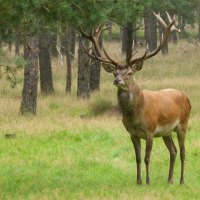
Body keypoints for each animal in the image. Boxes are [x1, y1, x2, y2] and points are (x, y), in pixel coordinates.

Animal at [79, 11, 191, 185]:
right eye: (115, 73)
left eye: (130, 73)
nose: (117, 81)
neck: (136, 115)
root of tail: (186, 98)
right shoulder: (132, 133)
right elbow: (137, 158)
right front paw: (138, 181)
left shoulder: (150, 131)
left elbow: (146, 158)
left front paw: (148, 181)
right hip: (166, 132)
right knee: (173, 151)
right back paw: (169, 180)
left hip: (183, 124)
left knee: (184, 151)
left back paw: (181, 180)